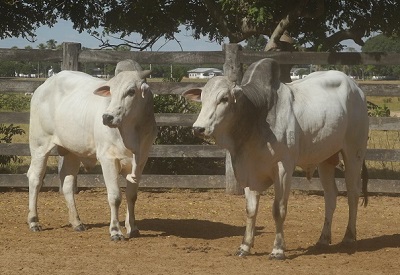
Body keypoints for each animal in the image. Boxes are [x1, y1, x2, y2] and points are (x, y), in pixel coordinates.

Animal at [27, 60, 156, 242]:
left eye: (131, 91)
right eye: (111, 91)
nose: (107, 117)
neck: (131, 131)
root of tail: (45, 85)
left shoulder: (141, 160)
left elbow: (132, 196)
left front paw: (133, 228)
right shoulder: (108, 159)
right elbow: (115, 196)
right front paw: (115, 231)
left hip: (71, 152)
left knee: (67, 182)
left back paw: (76, 222)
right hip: (39, 145)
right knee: (35, 179)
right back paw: (33, 221)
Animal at [183, 58, 368, 260]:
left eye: (224, 99)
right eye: (202, 99)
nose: (198, 128)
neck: (256, 116)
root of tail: (356, 88)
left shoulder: (283, 168)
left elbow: (278, 210)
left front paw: (278, 249)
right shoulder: (248, 172)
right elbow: (251, 210)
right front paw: (245, 246)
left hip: (354, 152)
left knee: (353, 193)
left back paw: (349, 237)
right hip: (325, 159)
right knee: (330, 196)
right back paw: (323, 239)